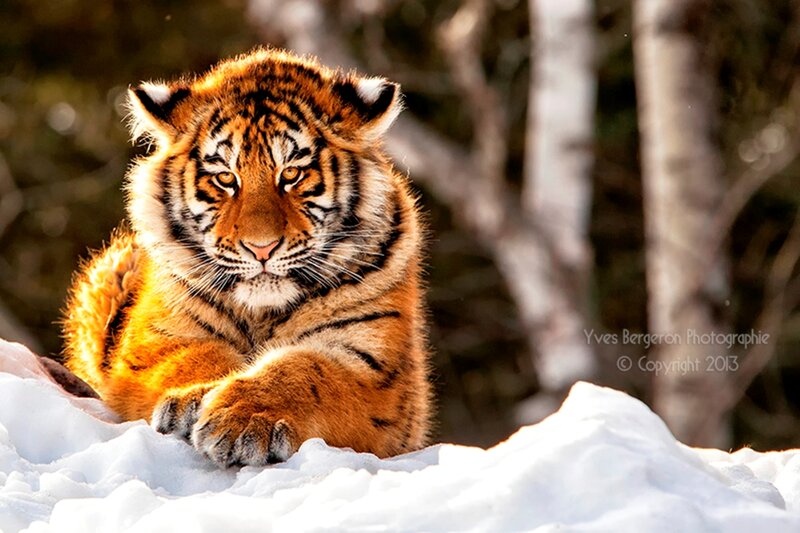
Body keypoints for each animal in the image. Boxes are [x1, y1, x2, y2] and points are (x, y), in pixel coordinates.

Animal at [61, 48, 431, 467]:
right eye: (225, 178)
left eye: (292, 174)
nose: (261, 248)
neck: (262, 311)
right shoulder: (154, 342)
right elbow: (194, 357)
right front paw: (194, 399)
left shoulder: (373, 365)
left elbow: (306, 370)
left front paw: (243, 419)